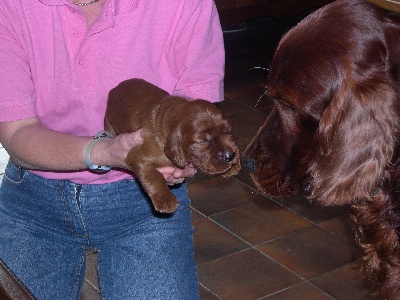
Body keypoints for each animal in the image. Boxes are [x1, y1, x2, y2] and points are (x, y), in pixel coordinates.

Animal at [104, 77, 241, 213]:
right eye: (202, 141)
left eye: (227, 131)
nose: (230, 156)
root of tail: (114, 88)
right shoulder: (136, 155)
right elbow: (153, 176)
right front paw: (165, 199)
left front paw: (234, 165)